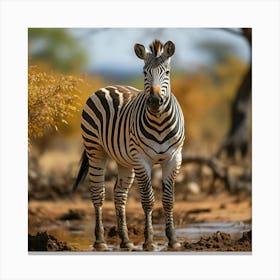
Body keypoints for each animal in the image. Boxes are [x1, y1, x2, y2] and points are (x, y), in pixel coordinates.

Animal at [73, 39, 185, 252]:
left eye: (167, 72)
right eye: (144, 72)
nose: (155, 101)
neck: (159, 122)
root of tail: (108, 86)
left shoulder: (174, 158)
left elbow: (169, 200)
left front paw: (173, 240)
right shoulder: (142, 159)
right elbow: (148, 200)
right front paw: (149, 241)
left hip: (124, 159)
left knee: (119, 194)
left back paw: (125, 240)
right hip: (96, 150)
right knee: (98, 193)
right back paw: (100, 241)